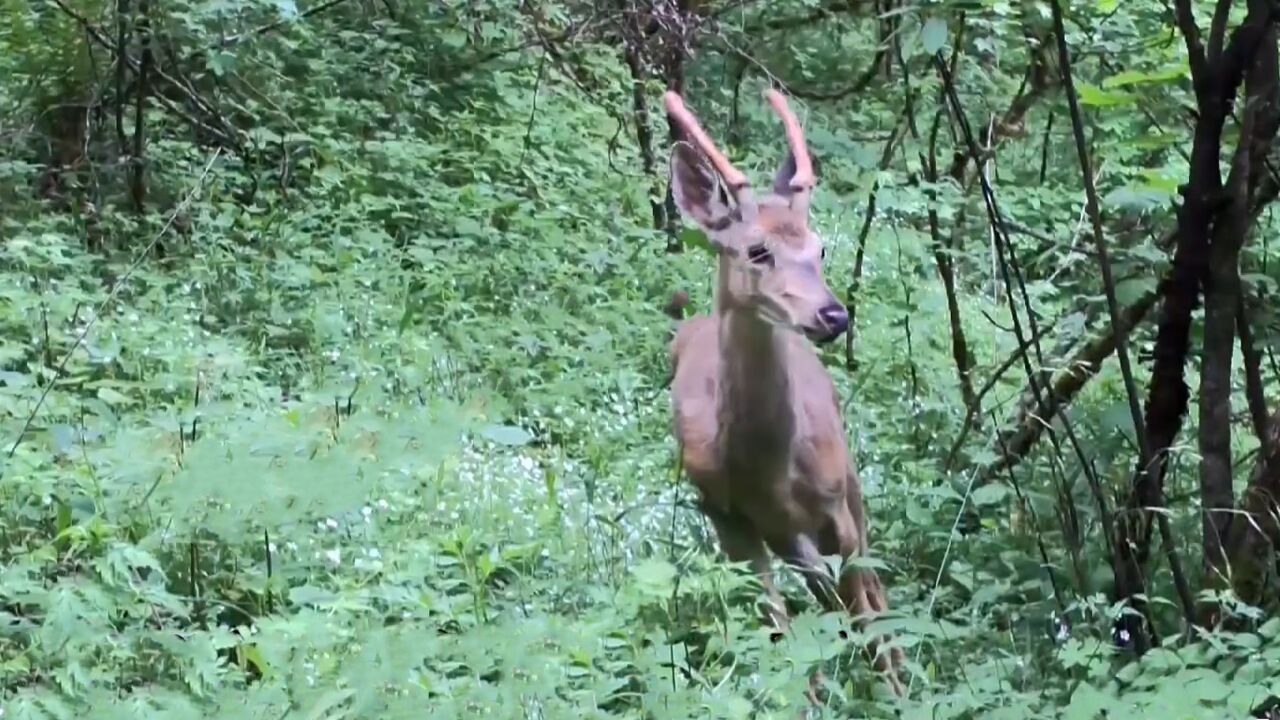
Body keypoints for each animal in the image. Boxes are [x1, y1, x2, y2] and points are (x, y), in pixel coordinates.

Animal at [665, 88, 906, 696]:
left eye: (818, 249)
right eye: (756, 250)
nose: (834, 315)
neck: (765, 466)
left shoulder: (835, 507)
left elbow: (866, 609)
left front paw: (903, 697)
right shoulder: (726, 517)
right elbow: (777, 628)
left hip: (849, 487)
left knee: (868, 595)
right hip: (787, 534)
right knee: (825, 600)